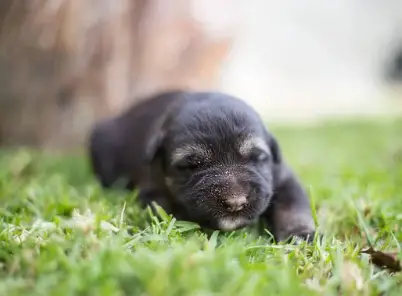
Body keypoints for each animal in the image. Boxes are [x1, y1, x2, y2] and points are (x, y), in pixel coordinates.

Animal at [89, 91, 316, 243]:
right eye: (192, 165)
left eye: (257, 157)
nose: (235, 203)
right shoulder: (151, 189)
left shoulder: (283, 178)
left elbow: (292, 206)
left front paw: (300, 235)